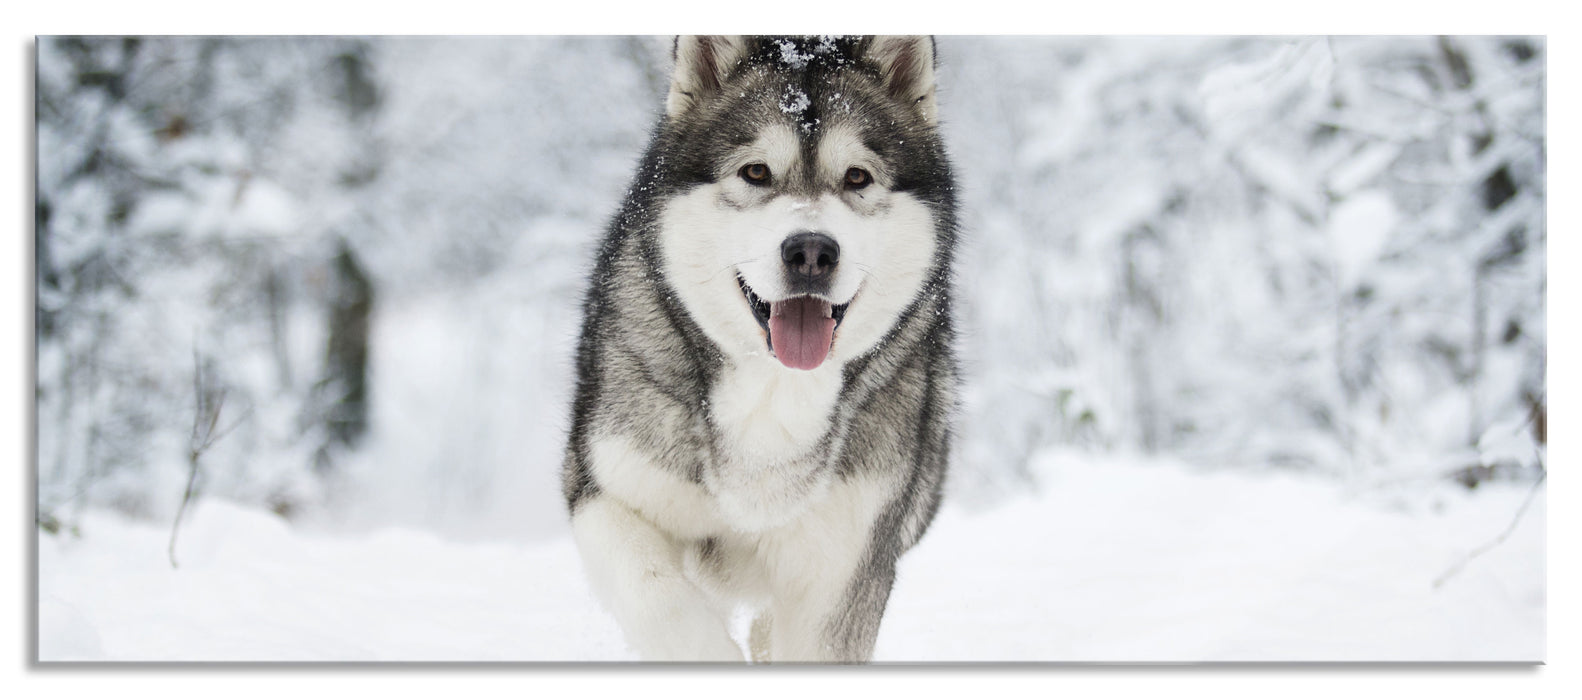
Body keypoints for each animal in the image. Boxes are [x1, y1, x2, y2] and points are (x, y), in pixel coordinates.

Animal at [569, 36, 955, 661]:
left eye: (857, 177)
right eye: (756, 171)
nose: (811, 252)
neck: (774, 394)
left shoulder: (845, 564)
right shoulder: (604, 486)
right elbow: (655, 597)